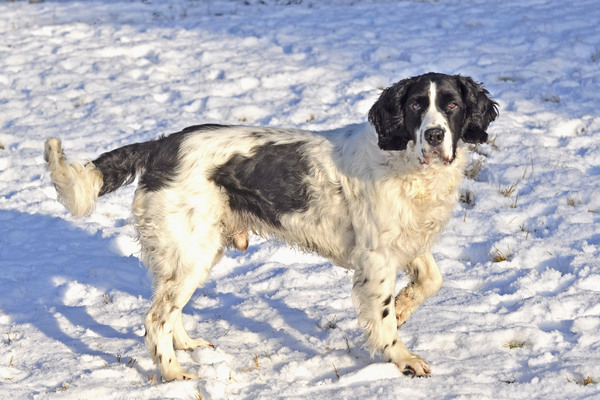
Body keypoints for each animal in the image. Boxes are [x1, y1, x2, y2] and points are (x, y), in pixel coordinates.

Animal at [44, 72, 500, 382]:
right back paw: (175, 374)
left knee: (167, 307)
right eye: (416, 107)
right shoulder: (376, 257)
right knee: (154, 318)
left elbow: (432, 280)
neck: (403, 161)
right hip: (192, 250)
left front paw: (405, 308)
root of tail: (161, 145)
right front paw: (402, 359)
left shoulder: (406, 241)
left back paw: (188, 346)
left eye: (452, 106)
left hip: (195, 251)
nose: (435, 135)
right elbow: (384, 320)